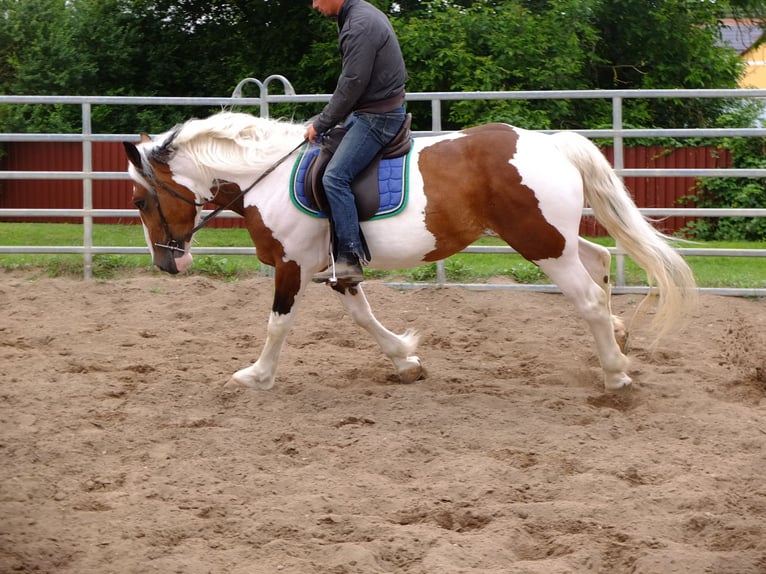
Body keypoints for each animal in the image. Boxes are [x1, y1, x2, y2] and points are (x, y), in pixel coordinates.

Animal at [123, 111, 700, 394]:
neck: (265, 174)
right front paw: (405, 359)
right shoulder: (337, 266)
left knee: (588, 300)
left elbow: (277, 325)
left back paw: (616, 373)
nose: (166, 263)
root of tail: (549, 142)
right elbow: (362, 316)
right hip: (552, 237)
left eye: (140, 199)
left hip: (541, 245)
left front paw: (257, 377)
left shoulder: (292, 266)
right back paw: (620, 343)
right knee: (599, 262)